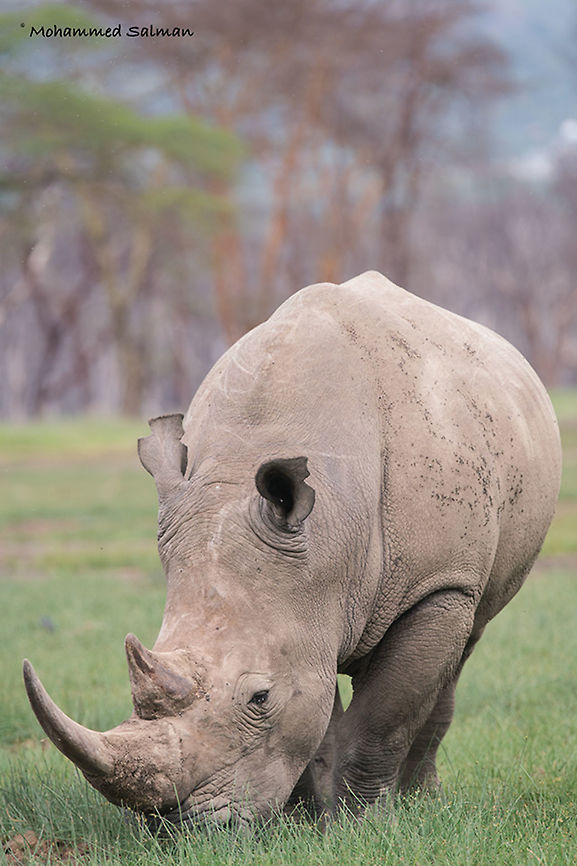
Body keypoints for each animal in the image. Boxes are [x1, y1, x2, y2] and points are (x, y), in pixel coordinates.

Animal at [23, 271, 561, 827]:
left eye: (260, 697)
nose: (182, 828)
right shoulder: (303, 601)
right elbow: (315, 711)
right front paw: (306, 819)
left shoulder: (438, 583)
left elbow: (384, 717)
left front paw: (361, 823)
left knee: (461, 650)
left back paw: (420, 800)